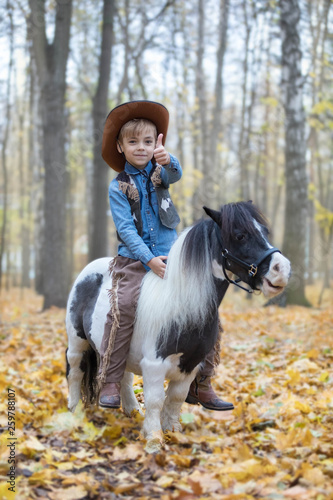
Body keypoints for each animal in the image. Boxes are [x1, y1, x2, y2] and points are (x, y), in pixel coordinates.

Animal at [66, 203, 290, 450]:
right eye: (240, 235)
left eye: (265, 231)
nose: (282, 269)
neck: (180, 305)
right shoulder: (154, 365)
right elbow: (156, 400)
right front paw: (154, 439)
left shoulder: (190, 365)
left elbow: (176, 397)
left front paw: (172, 431)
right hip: (77, 343)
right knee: (75, 371)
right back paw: (74, 412)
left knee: (123, 376)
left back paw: (132, 411)